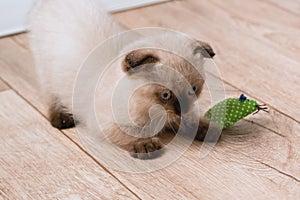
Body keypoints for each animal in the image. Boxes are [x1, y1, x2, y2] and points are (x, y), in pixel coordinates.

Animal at [29, 0, 214, 159]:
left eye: (193, 90)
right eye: (166, 95)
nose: (183, 108)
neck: (150, 110)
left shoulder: (172, 115)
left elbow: (187, 121)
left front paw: (205, 128)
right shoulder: (105, 123)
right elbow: (128, 134)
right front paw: (145, 145)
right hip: (46, 71)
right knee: (50, 94)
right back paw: (61, 118)